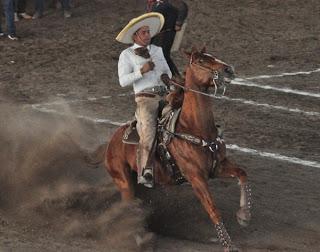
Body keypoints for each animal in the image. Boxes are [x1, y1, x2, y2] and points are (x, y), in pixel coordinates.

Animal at [105, 47, 252, 252]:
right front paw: (229, 246)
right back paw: (139, 240)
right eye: (200, 61)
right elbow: (213, 210)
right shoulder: (196, 177)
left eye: (212, 56)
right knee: (129, 207)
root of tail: (111, 143)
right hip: (123, 182)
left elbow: (242, 174)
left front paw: (244, 216)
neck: (194, 127)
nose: (228, 70)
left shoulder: (218, 167)